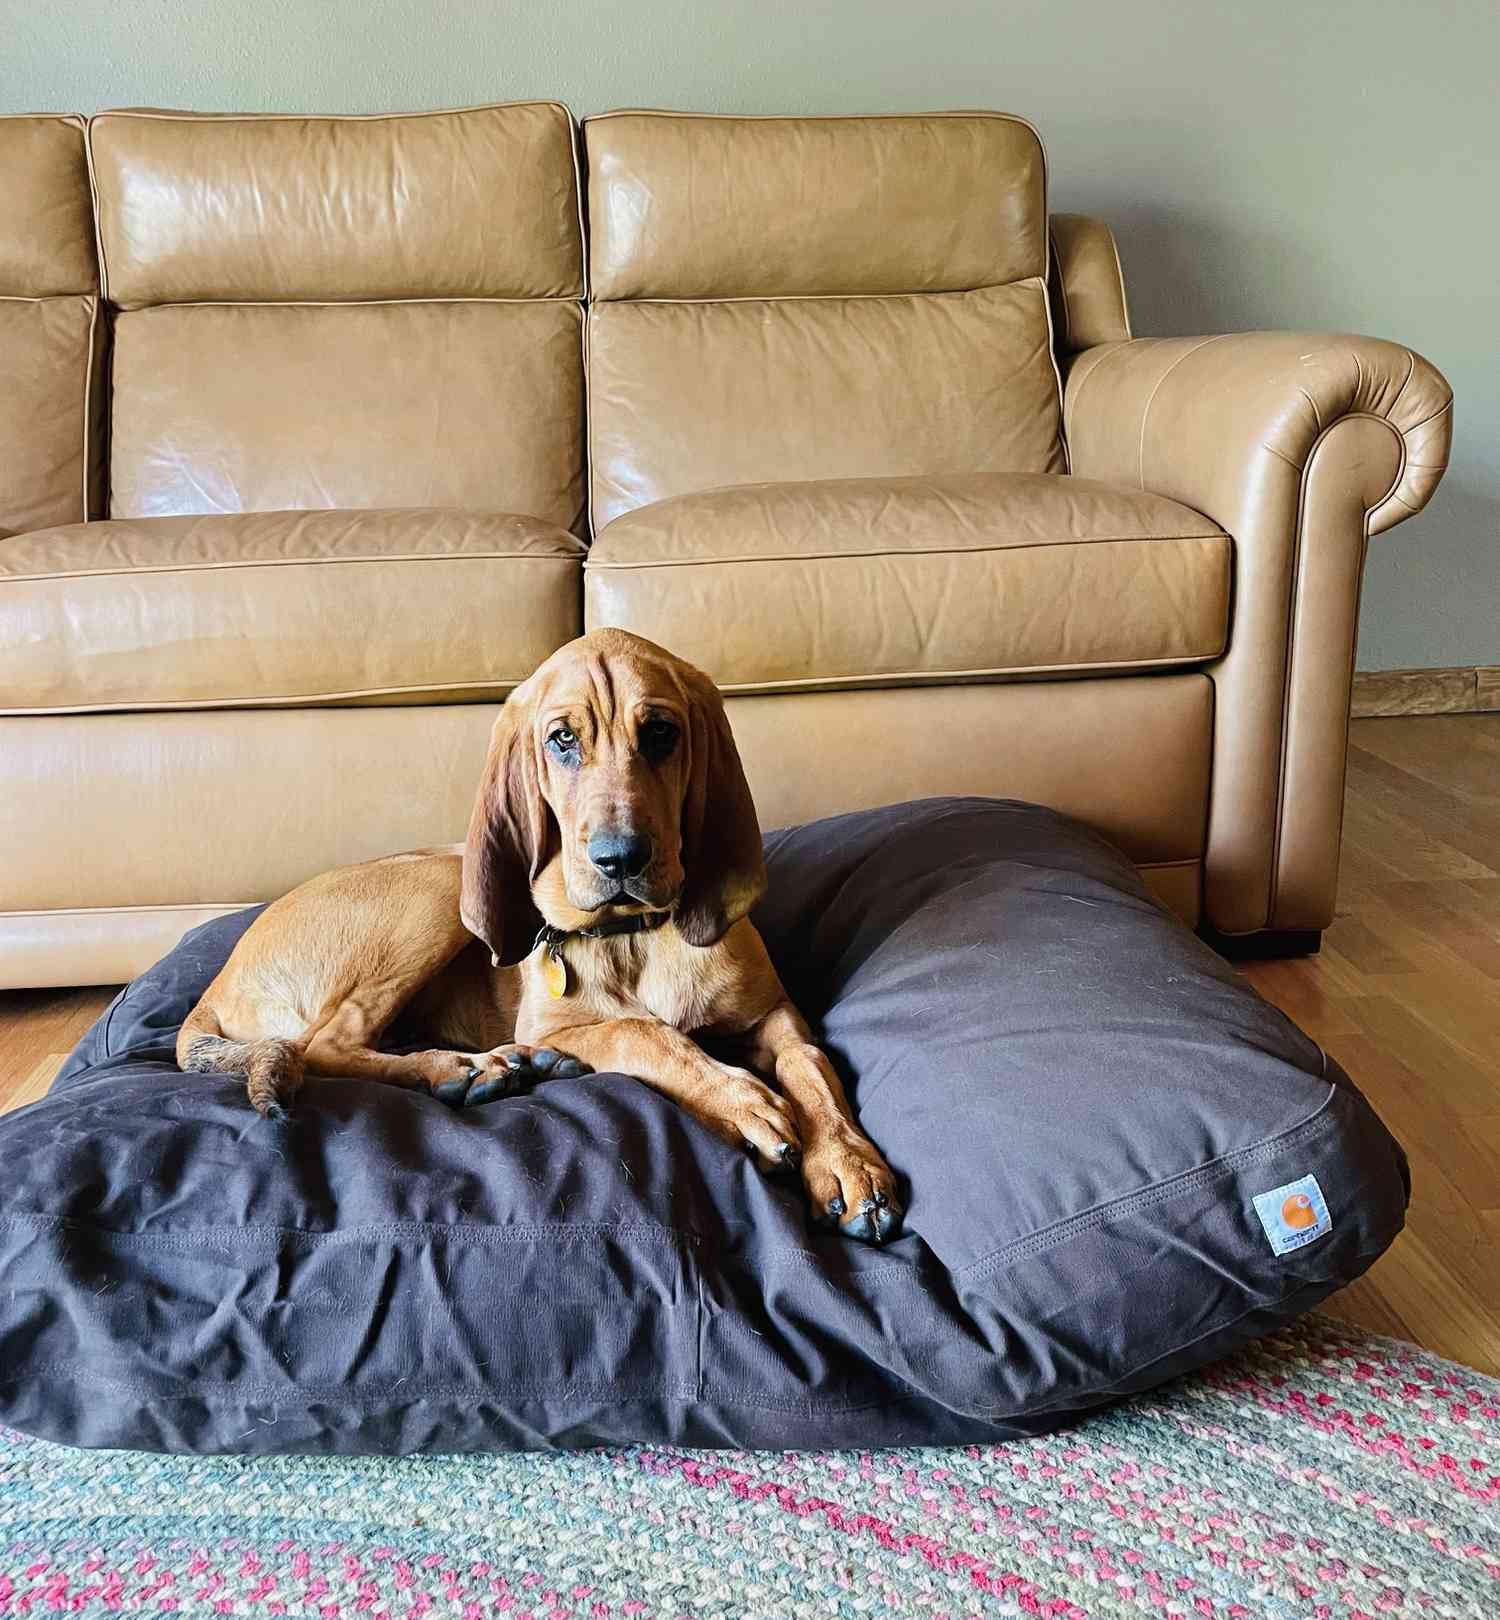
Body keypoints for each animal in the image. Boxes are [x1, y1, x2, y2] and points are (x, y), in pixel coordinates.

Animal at [176, 625, 907, 1244]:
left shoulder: (772, 1012)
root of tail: (212, 990)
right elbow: (642, 1033)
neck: (635, 933)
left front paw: (847, 1162)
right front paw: (741, 1101)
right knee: (327, 1043)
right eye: (562, 739)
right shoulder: (564, 1021)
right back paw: (466, 1070)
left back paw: (520, 1067)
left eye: (661, 732)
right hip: (441, 888)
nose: (620, 858)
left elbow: (809, 1064)